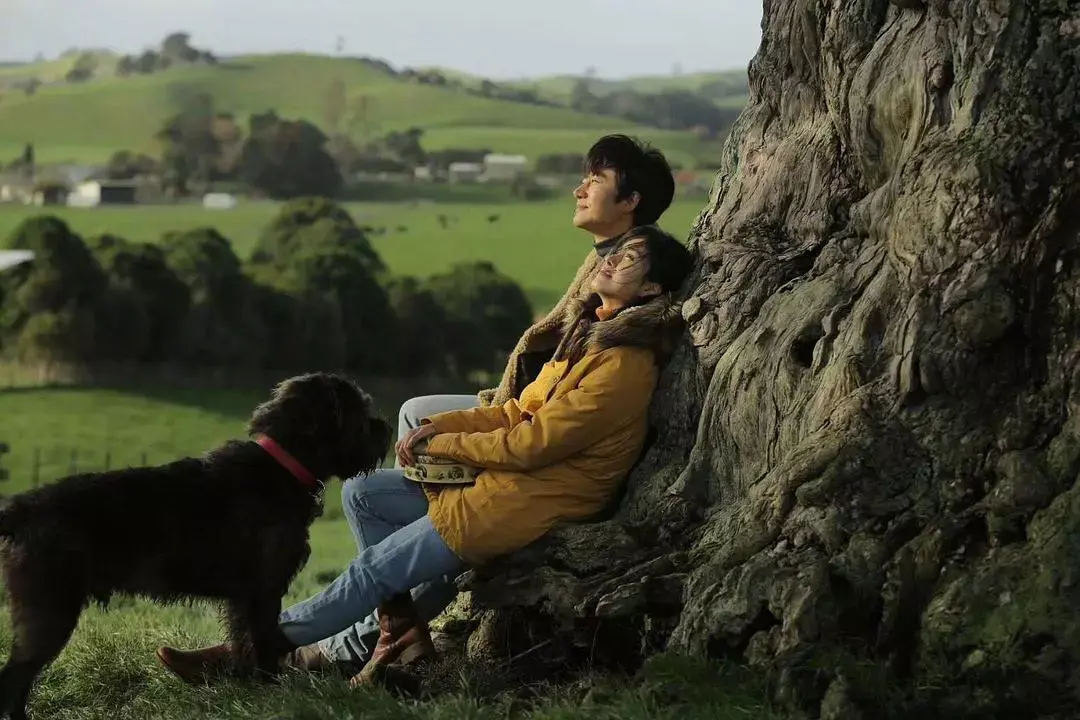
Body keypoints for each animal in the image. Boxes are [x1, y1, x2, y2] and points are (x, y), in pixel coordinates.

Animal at [0, 375, 393, 716]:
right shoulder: (262, 592)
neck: (281, 466)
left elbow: (244, 642)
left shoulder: (243, 599)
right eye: (359, 410)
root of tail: (22, 507)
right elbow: (264, 643)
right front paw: (272, 690)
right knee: (14, 678)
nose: (387, 428)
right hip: (48, 613)